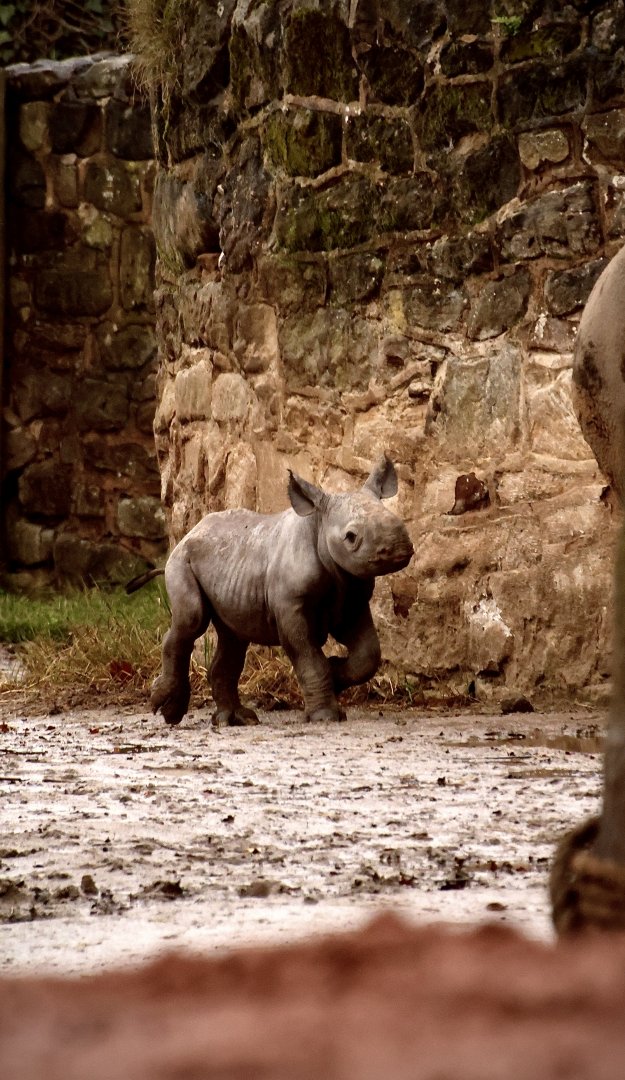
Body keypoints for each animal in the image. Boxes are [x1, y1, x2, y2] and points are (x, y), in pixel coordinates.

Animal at [135, 456, 413, 727]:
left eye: (398, 520)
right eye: (351, 537)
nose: (398, 546)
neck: (319, 526)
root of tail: (191, 531)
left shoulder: (353, 599)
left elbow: (368, 655)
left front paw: (335, 675)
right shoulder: (291, 605)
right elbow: (307, 656)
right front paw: (325, 716)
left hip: (229, 566)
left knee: (233, 637)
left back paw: (236, 720)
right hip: (182, 559)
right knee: (192, 621)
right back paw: (169, 710)